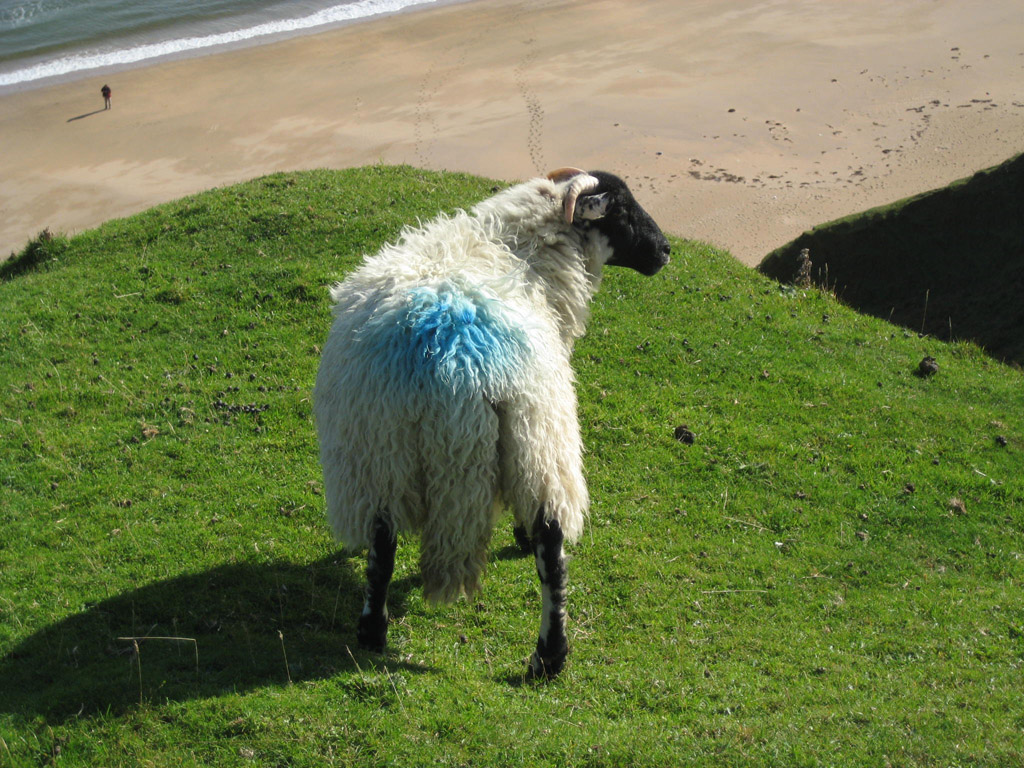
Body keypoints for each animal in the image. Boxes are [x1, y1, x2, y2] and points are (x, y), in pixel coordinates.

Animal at [319, 167, 671, 679]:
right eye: (621, 209)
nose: (665, 250)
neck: (521, 249)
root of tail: (455, 359)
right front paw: (520, 538)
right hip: (537, 430)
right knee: (551, 548)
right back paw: (549, 655)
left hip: (381, 445)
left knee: (382, 545)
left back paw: (372, 633)